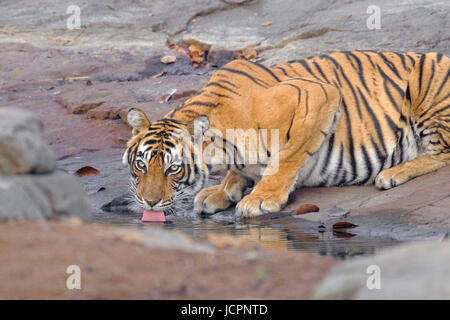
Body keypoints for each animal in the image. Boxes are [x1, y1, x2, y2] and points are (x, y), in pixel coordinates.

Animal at [123, 50, 450, 218]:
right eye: (141, 165)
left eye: (173, 169)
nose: (149, 203)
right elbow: (239, 172)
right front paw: (220, 191)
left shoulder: (319, 94)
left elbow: (287, 158)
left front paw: (260, 199)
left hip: (426, 75)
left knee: (442, 153)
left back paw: (392, 173)